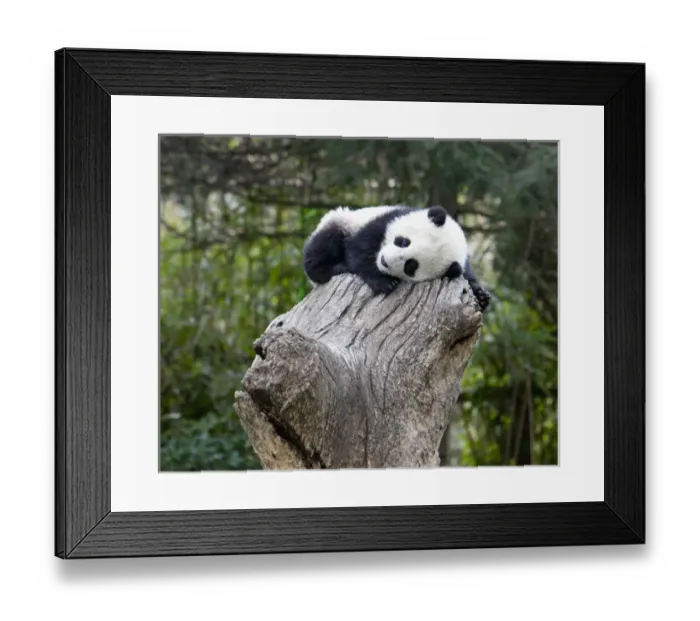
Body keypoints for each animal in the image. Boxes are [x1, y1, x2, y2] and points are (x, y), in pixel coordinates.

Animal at [302, 204, 491, 312]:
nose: (385, 261)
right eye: (403, 242)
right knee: (323, 244)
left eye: (411, 266)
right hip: (343, 220)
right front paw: (383, 282)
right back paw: (333, 268)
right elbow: (359, 248)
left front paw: (481, 296)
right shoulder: (387, 219)